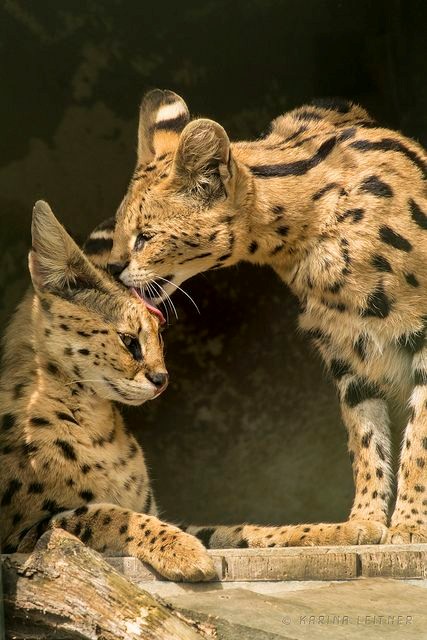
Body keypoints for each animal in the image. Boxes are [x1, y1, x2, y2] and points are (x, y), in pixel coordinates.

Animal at [0, 202, 216, 584]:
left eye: (160, 335)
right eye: (130, 341)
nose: (163, 379)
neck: (99, 426)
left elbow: (234, 531)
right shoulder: (20, 535)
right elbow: (102, 514)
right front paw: (183, 549)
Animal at [87, 89, 427, 544]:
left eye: (146, 237)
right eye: (122, 232)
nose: (114, 268)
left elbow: (417, 441)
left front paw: (410, 525)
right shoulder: (344, 348)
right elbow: (366, 441)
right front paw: (363, 521)